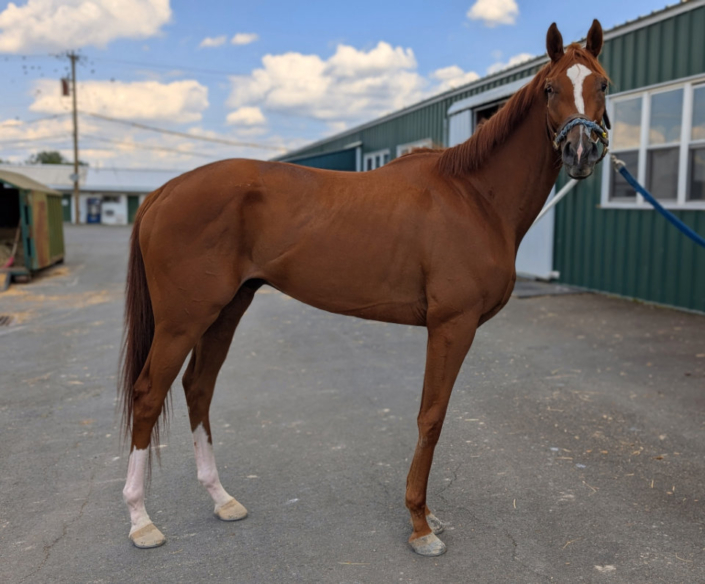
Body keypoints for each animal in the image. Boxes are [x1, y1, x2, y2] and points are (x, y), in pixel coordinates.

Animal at [119, 20, 610, 556]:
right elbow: (431, 417)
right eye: (550, 89)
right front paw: (419, 524)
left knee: (198, 389)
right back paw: (141, 521)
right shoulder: (451, 325)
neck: (475, 198)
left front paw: (427, 516)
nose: (580, 151)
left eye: (603, 85)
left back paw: (221, 498)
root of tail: (164, 191)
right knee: (148, 394)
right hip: (183, 320)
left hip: (226, 309)